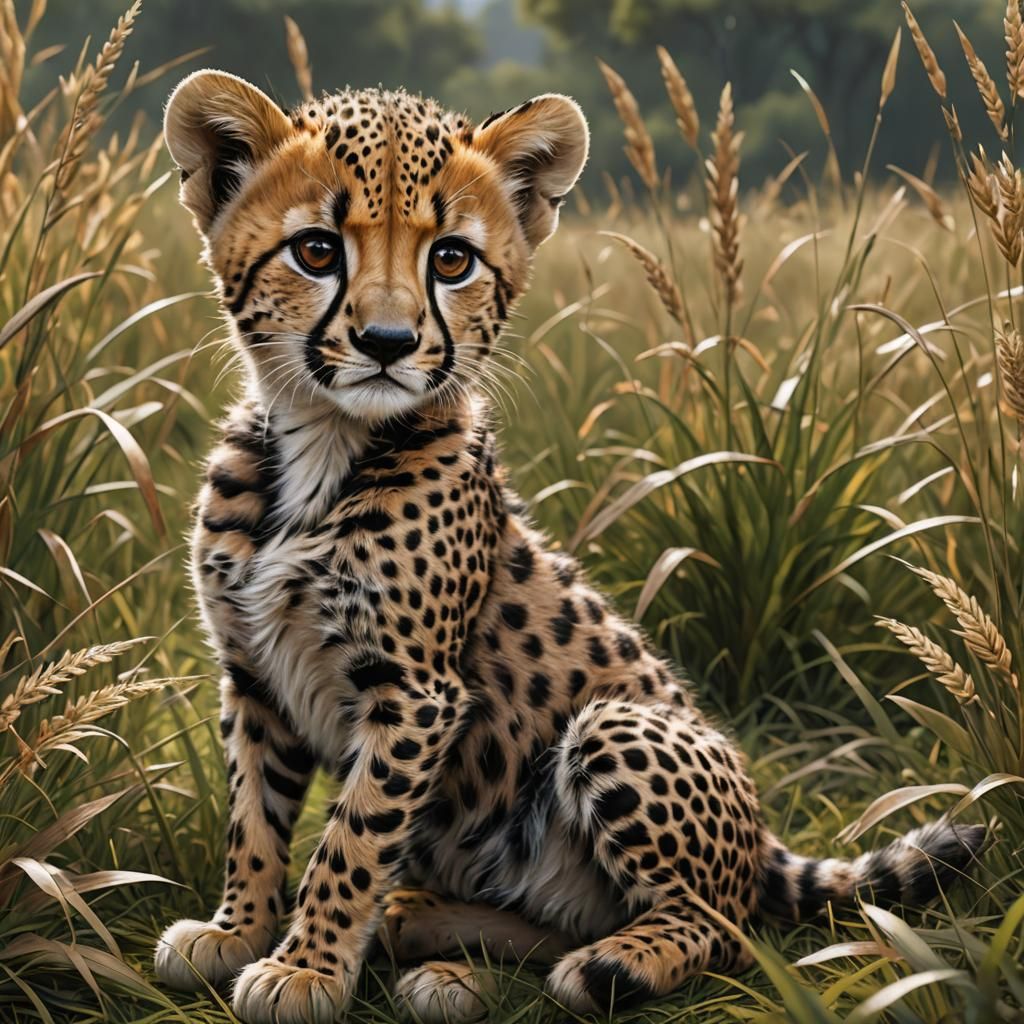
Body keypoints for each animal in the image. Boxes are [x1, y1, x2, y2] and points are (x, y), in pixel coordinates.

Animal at [152, 69, 985, 1024]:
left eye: (451, 260)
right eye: (318, 251)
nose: (388, 343)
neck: (320, 444)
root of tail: (762, 840)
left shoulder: (417, 693)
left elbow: (354, 838)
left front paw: (307, 969)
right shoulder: (253, 672)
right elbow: (253, 817)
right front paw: (239, 930)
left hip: (615, 726)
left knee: (727, 928)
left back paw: (608, 966)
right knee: (569, 916)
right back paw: (431, 939)